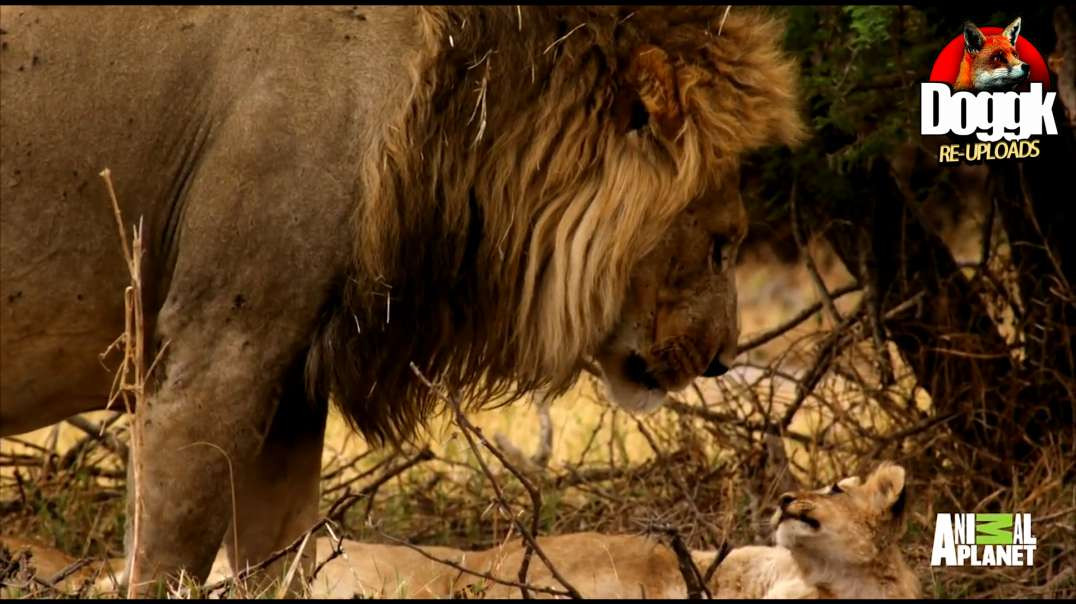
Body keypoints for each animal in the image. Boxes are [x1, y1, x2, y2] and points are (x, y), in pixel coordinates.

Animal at [0, 4, 804, 590]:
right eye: (722, 243)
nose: (723, 359)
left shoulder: (290, 387)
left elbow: (282, 561)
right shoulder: (217, 344)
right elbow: (169, 556)